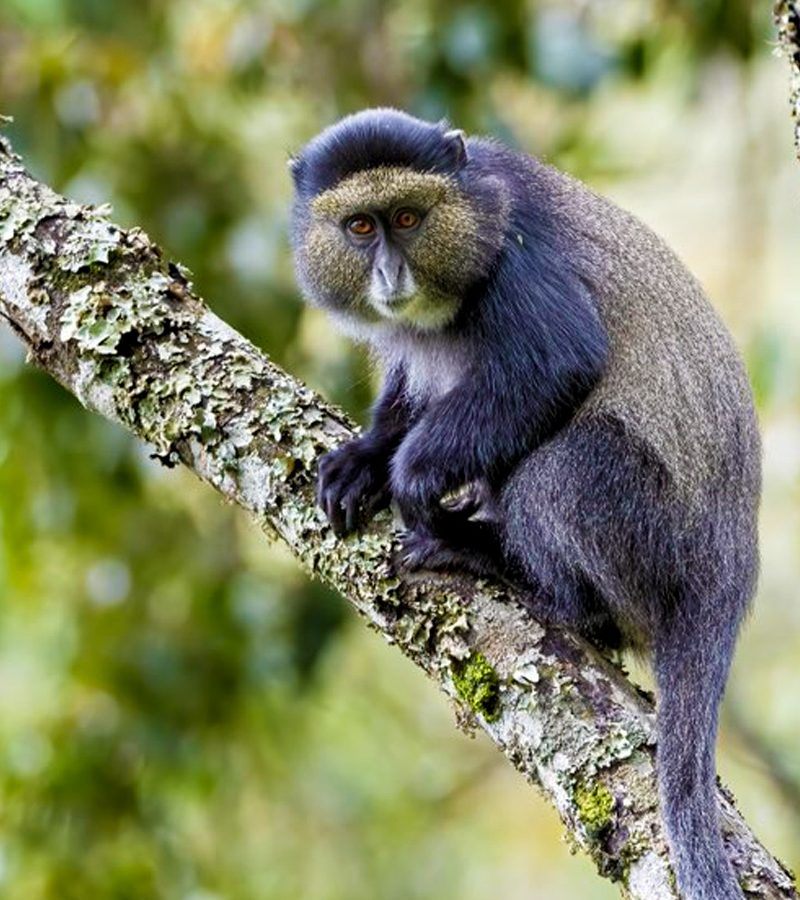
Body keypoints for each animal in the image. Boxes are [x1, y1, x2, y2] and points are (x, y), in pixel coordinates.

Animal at [289, 108, 760, 900]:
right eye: (359, 227)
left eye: (408, 218)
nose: (389, 275)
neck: (474, 212)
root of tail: (730, 571)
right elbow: (409, 386)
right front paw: (365, 460)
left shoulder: (520, 260)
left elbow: (557, 361)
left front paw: (412, 474)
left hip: (649, 532)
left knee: (561, 469)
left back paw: (517, 572)